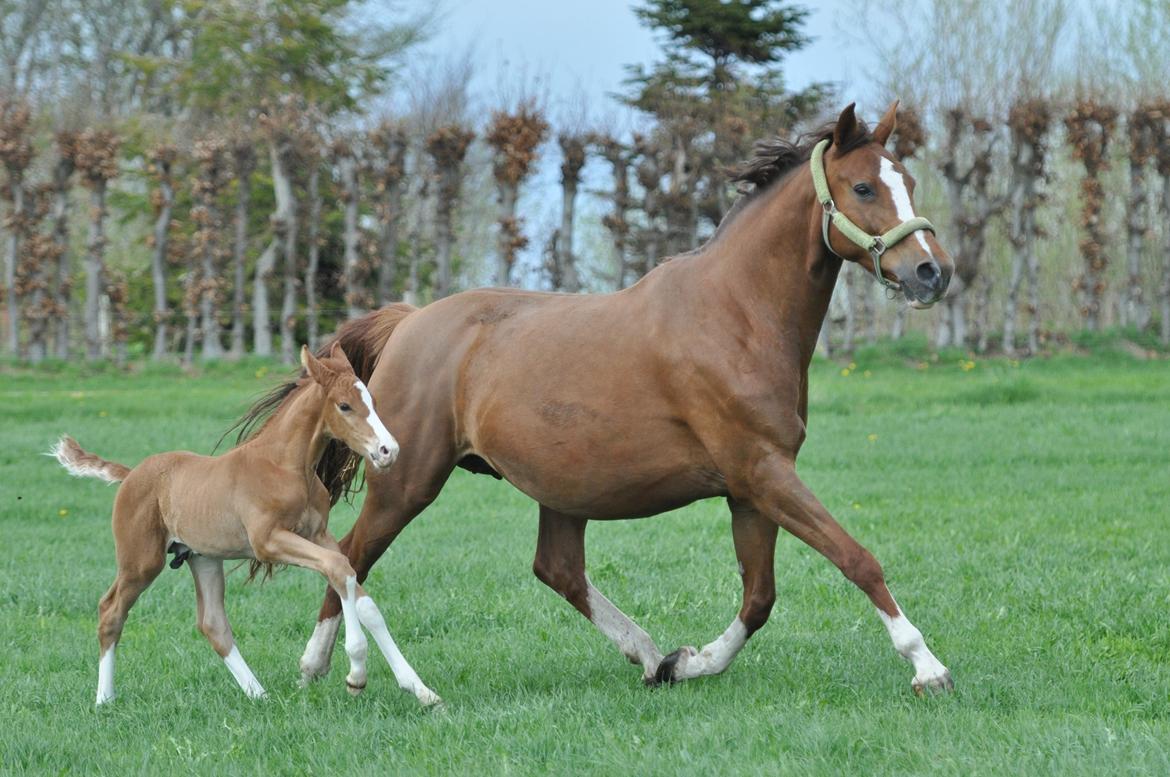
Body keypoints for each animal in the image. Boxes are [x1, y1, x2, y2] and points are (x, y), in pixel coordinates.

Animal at [53, 344, 442, 706]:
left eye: (372, 401)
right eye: (345, 405)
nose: (388, 451)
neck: (286, 466)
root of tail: (132, 474)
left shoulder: (318, 535)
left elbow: (357, 591)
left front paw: (420, 690)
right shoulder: (268, 542)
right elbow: (338, 568)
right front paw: (357, 674)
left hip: (203, 558)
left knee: (212, 623)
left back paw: (259, 694)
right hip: (141, 560)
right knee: (111, 610)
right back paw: (104, 699)